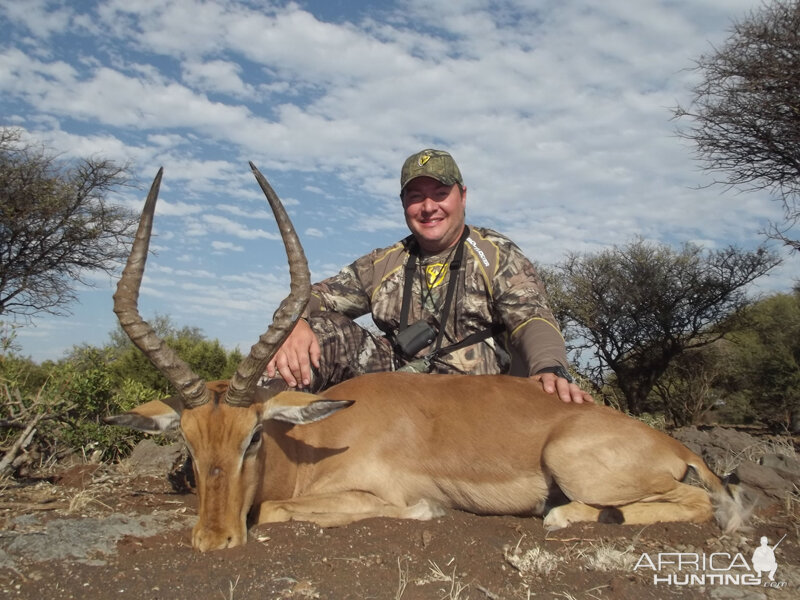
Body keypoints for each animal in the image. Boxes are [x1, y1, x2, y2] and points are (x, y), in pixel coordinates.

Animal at [103, 165, 748, 552]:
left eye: (252, 437)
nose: (213, 541)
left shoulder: (370, 496)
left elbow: (277, 512)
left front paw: (423, 516)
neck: (317, 440)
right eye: (189, 443)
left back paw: (564, 517)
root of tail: (678, 447)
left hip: (571, 463)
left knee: (695, 502)